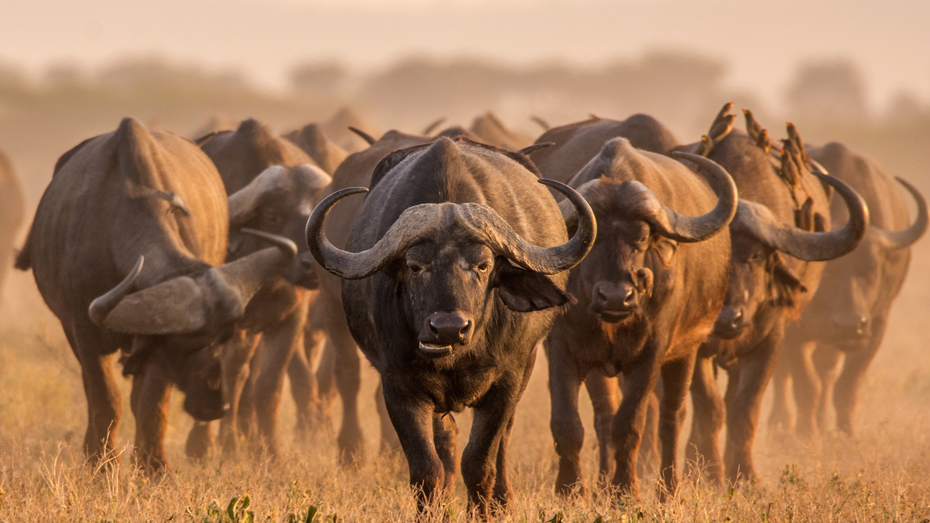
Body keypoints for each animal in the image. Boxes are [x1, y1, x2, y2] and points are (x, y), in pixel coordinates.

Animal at [17, 117, 294, 470]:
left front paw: (152, 466)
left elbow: (151, 402)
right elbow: (105, 398)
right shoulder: (84, 329)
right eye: (183, 345)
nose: (215, 404)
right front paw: (102, 464)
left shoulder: (152, 349)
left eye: (222, 338)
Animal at [304, 135, 596, 516]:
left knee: (502, 441)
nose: (448, 328)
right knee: (447, 444)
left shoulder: (506, 381)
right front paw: (433, 510)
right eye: (415, 266)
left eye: (483, 265)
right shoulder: (399, 385)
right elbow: (427, 467)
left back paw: (502, 500)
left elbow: (480, 461)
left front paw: (483, 511)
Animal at [764, 143, 924, 442]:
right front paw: (806, 432)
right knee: (785, 375)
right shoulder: (793, 329)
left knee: (826, 370)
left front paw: (845, 433)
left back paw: (822, 420)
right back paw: (781, 422)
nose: (850, 325)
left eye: (872, 270)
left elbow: (847, 385)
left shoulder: (875, 327)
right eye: (827, 273)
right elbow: (805, 383)